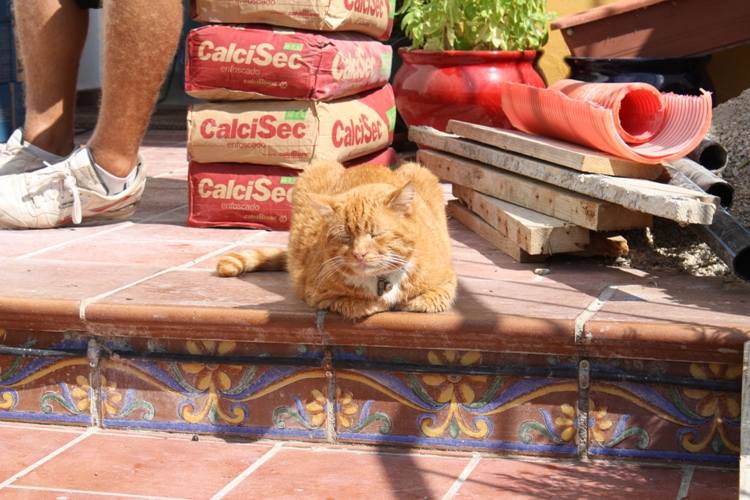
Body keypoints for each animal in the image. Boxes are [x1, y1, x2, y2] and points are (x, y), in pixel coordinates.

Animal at [216, 160, 457, 319]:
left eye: (375, 234)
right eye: (345, 237)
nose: (359, 254)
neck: (382, 281)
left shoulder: (447, 279)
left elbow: (428, 299)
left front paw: (410, 302)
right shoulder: (317, 294)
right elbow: (362, 305)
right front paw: (378, 304)